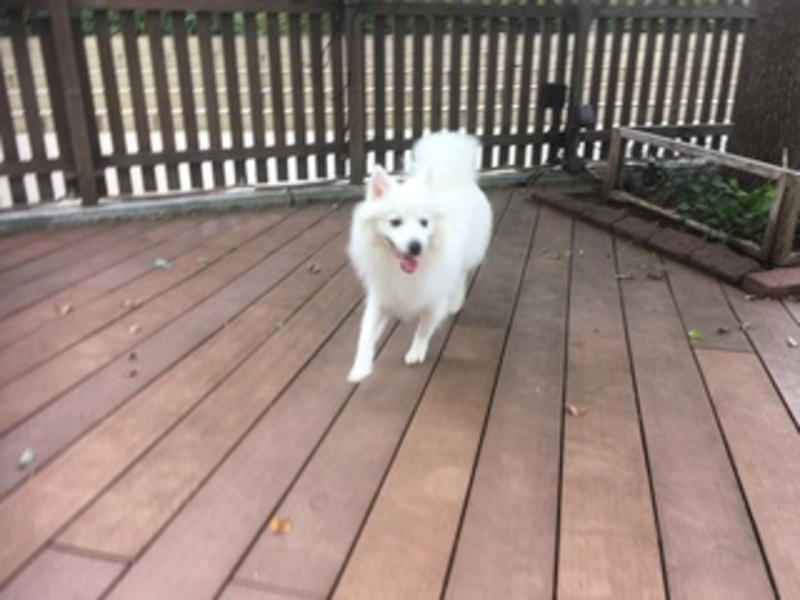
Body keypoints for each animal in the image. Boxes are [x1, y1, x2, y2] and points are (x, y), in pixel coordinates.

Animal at [347, 131, 492, 382]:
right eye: (395, 222)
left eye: (424, 222)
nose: (415, 246)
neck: (403, 272)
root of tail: (453, 178)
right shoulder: (382, 295)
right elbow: (365, 334)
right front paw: (360, 367)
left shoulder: (433, 297)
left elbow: (424, 328)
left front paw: (416, 351)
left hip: (465, 255)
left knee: (461, 274)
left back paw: (456, 301)